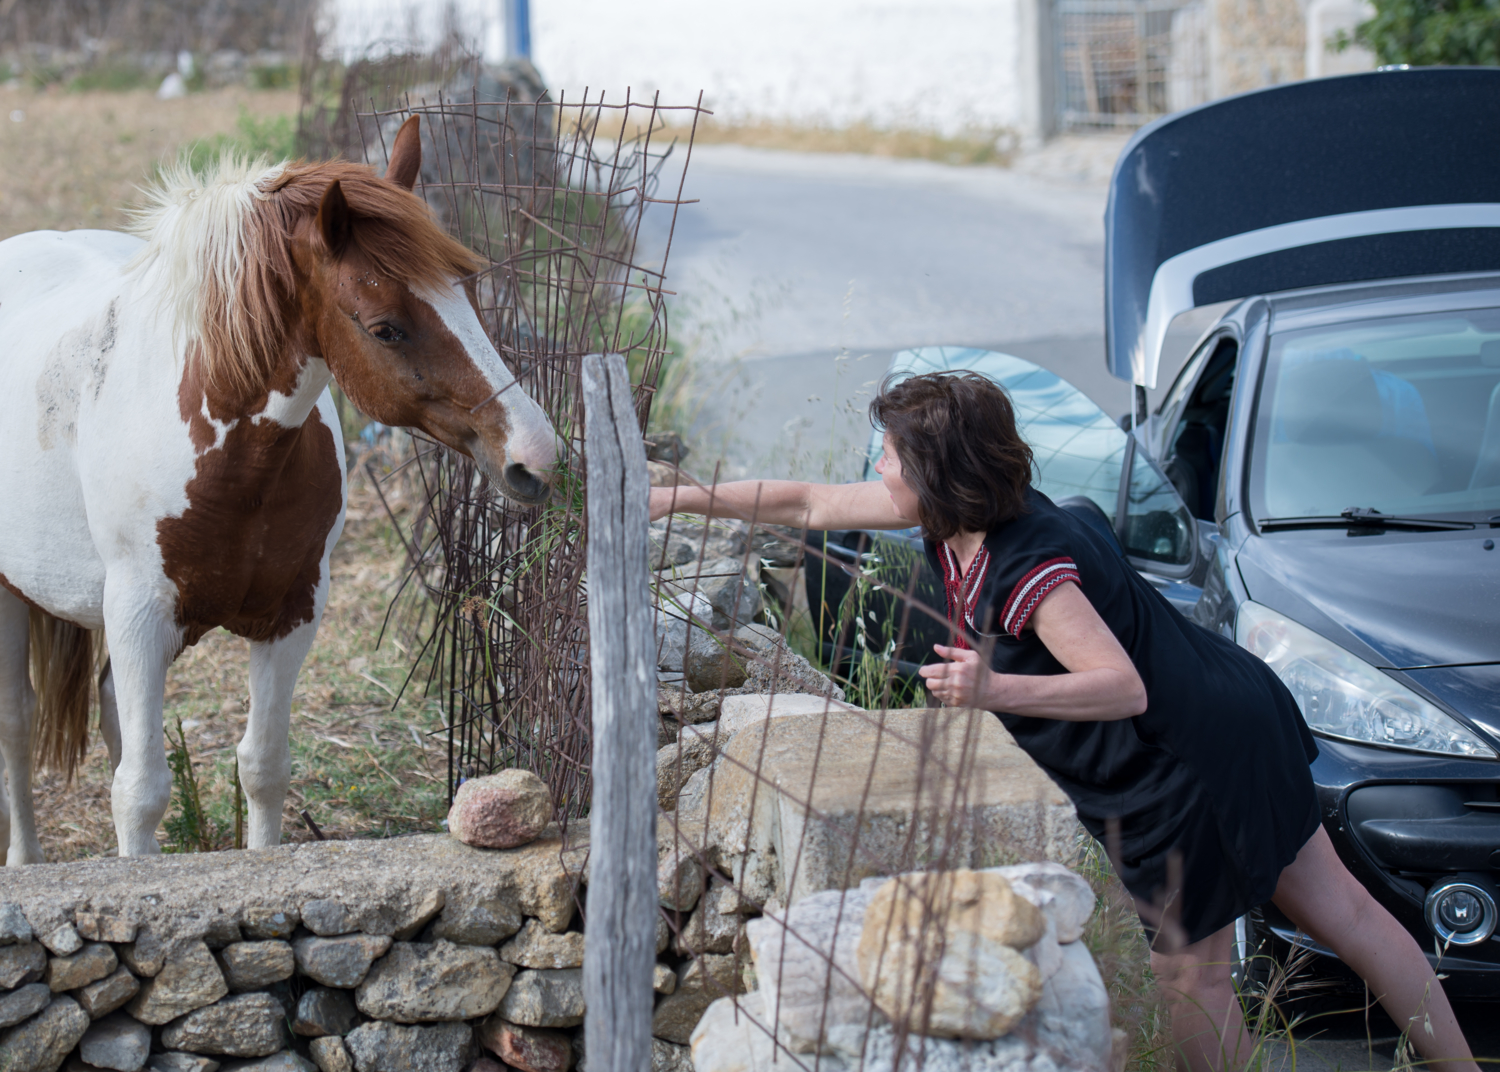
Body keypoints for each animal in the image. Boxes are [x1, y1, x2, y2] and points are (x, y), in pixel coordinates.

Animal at [0, 115, 558, 863]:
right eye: (385, 327)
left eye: (466, 295)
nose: (535, 454)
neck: (233, 466)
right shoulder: (139, 615)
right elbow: (139, 791)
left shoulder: (291, 613)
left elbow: (262, 768)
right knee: (18, 723)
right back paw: (26, 861)